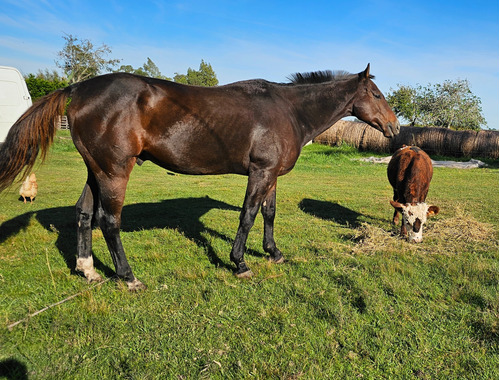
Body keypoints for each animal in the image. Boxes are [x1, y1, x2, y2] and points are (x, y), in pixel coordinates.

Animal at [0, 63, 398, 290]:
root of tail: (78, 88)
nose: (395, 127)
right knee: (109, 221)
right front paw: (240, 263)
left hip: (95, 170)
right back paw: (128, 277)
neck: (288, 110)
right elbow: (248, 216)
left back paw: (89, 271)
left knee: (83, 214)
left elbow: (268, 213)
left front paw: (274, 253)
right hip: (114, 171)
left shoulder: (271, 174)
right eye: (377, 94)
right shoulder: (260, 172)